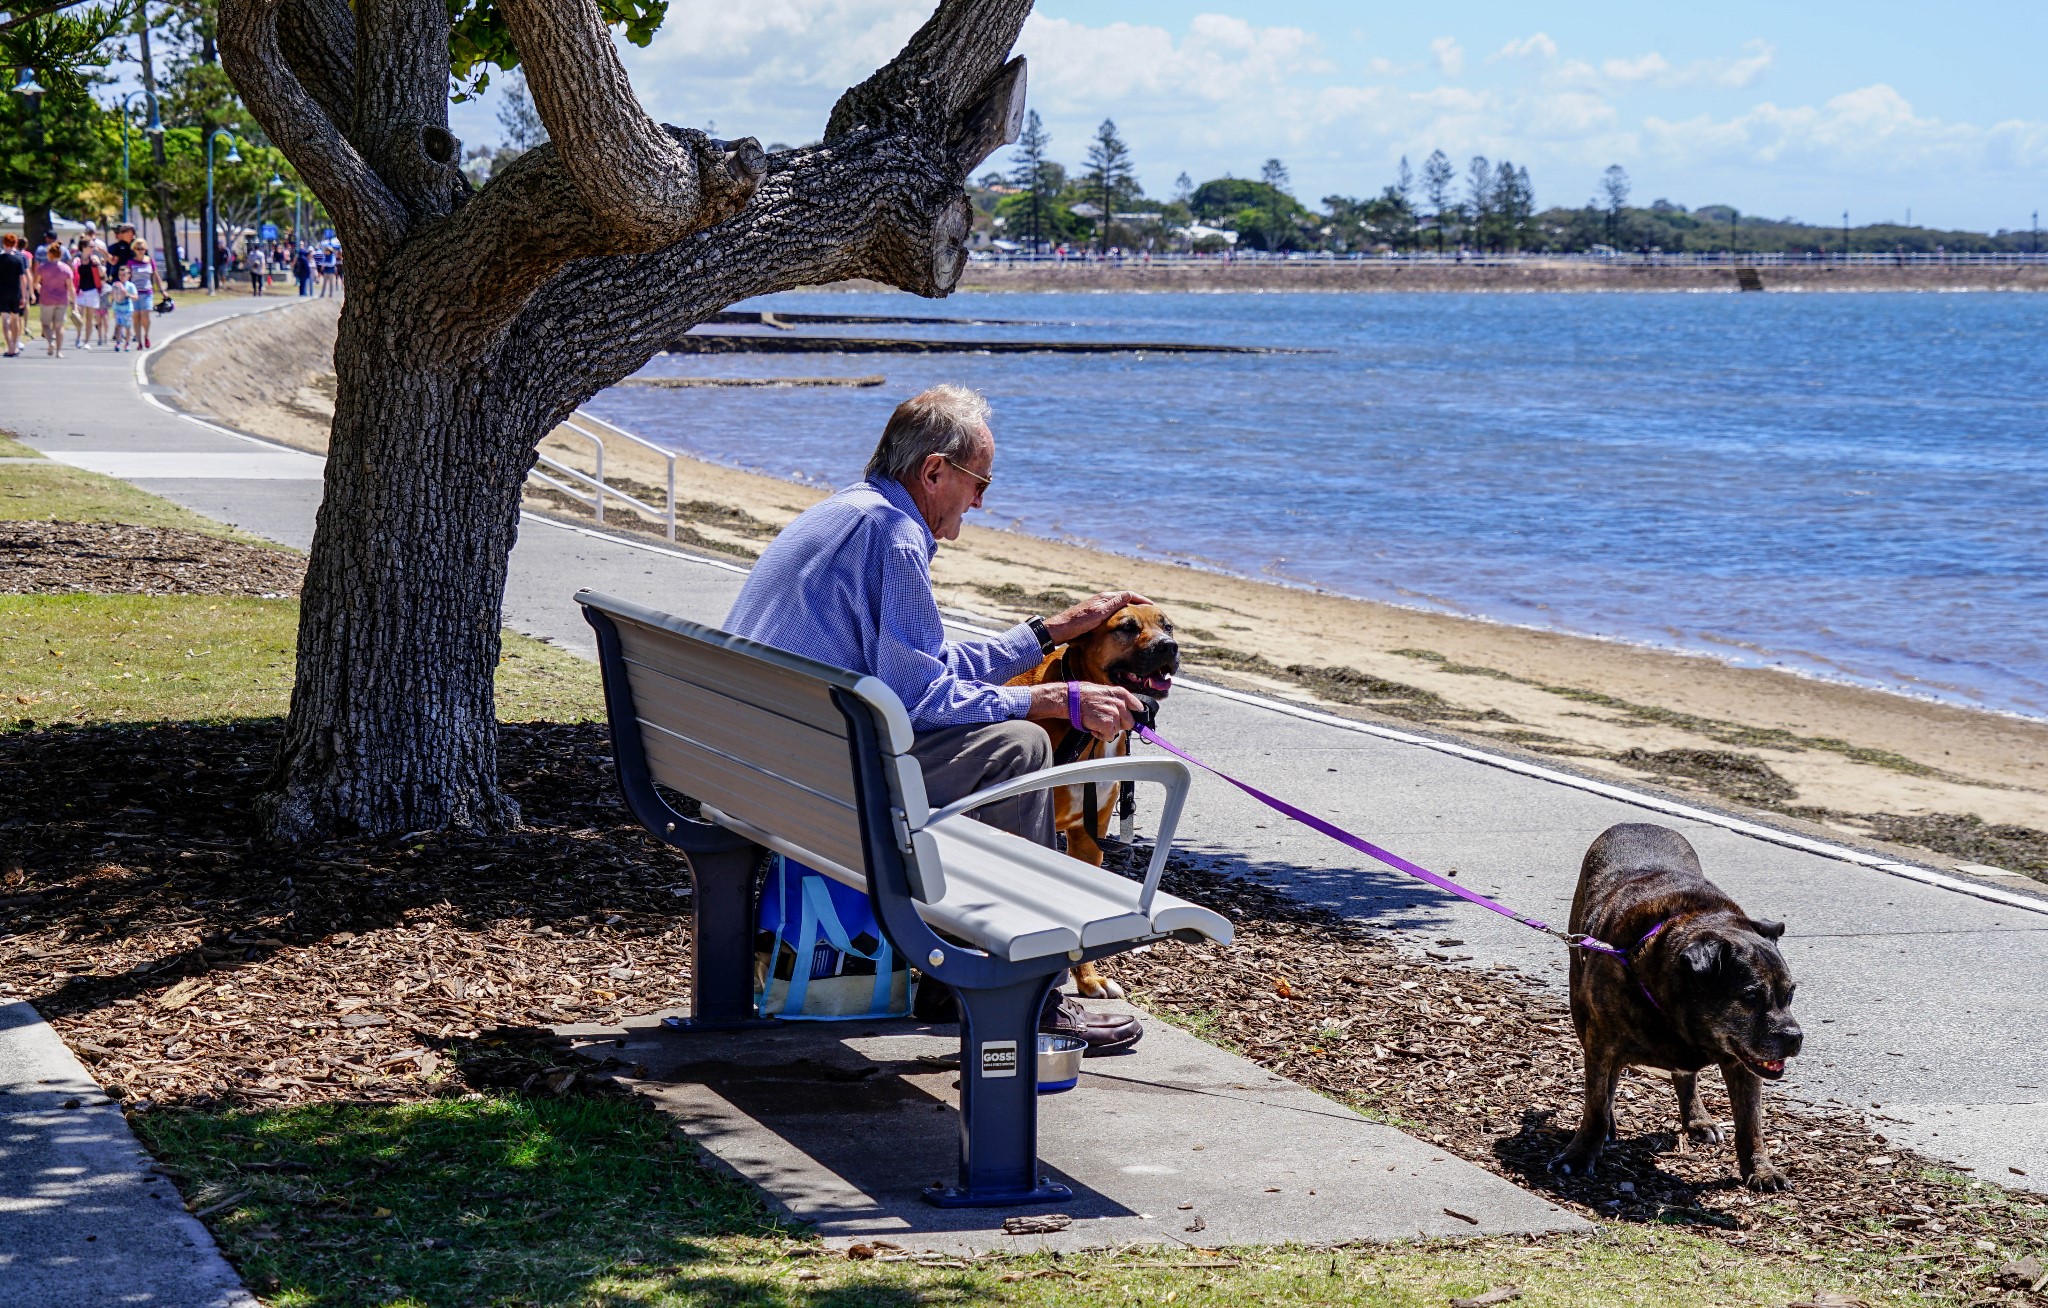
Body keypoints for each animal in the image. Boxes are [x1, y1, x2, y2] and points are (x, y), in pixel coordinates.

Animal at [1556, 822, 1802, 1195]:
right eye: (1750, 997)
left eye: (1789, 994)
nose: (1794, 1037)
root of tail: (1637, 823)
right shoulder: (1601, 1043)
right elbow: (1597, 1104)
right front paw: (1580, 1153)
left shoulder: (1743, 1063)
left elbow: (1750, 1123)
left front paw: (1761, 1170)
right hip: (1581, 1009)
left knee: (1684, 1076)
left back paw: (1698, 1119)